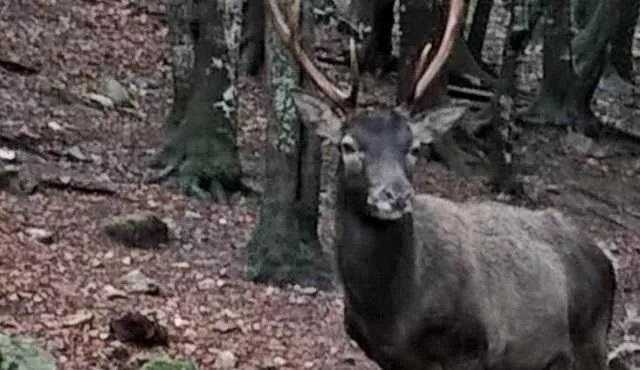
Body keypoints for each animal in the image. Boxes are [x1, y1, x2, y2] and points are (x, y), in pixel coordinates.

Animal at [264, 1, 616, 368]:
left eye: (414, 147)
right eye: (348, 146)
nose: (396, 195)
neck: (393, 315)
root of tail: (604, 260)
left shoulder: (471, 348)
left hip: (591, 339)